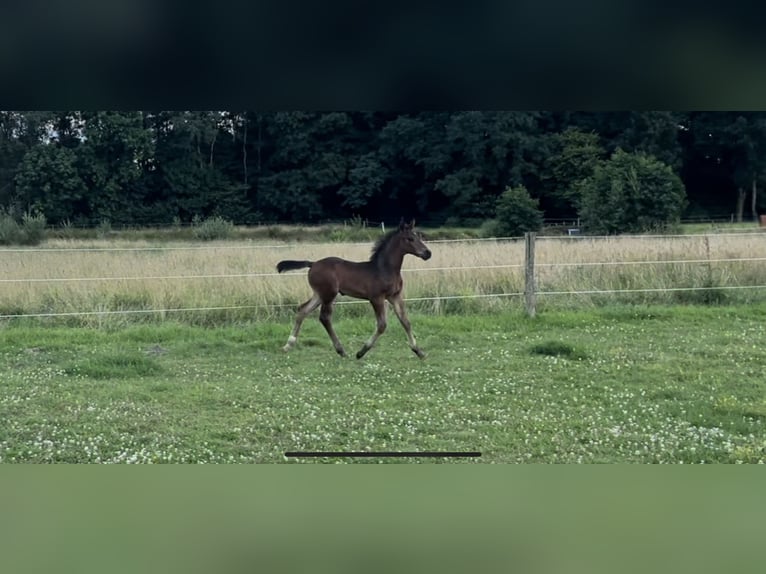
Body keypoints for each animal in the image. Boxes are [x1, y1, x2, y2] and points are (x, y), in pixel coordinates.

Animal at [276, 220, 432, 360]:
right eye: (410, 239)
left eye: (418, 236)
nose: (427, 253)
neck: (384, 269)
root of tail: (312, 264)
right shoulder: (376, 298)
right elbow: (382, 325)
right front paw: (361, 352)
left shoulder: (395, 296)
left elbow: (406, 321)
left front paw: (418, 351)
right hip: (329, 294)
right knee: (324, 317)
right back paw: (341, 351)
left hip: (319, 294)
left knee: (303, 310)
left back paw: (288, 345)